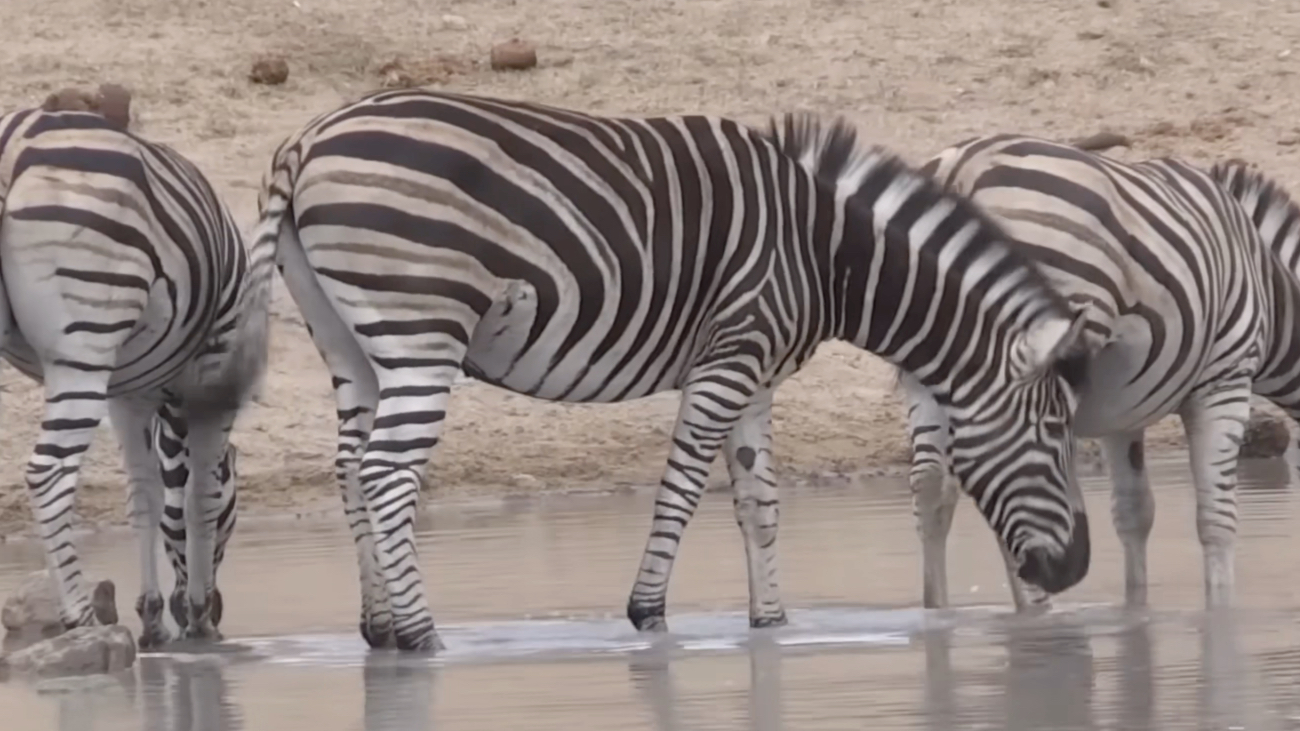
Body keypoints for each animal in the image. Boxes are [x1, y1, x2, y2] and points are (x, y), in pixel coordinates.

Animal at [0, 106, 270, 642]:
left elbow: (146, 496)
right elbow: (198, 496)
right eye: (234, 519)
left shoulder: (128, 396)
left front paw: (154, 617)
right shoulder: (215, 375)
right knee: (49, 473)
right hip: (84, 341)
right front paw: (197, 617)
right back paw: (80, 617)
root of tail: (15, 145)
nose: (218, 612)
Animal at [250, 88, 1086, 650]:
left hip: (350, 342)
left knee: (350, 468)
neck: (825, 252)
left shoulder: (757, 376)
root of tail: (306, 139)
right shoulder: (731, 357)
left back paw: (382, 629)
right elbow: (682, 490)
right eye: (1056, 430)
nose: (1075, 572)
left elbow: (759, 502)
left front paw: (772, 623)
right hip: (421, 327)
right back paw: (425, 635)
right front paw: (648, 612)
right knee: (387, 473)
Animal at [904, 132, 1300, 608]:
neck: (1269, 286)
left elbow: (1134, 513)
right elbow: (1216, 518)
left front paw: (1136, 608)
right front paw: (1220, 608)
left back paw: (939, 609)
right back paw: (1035, 608)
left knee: (932, 487)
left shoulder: (1124, 411)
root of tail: (961, 166)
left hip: (930, 363)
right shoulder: (1225, 378)